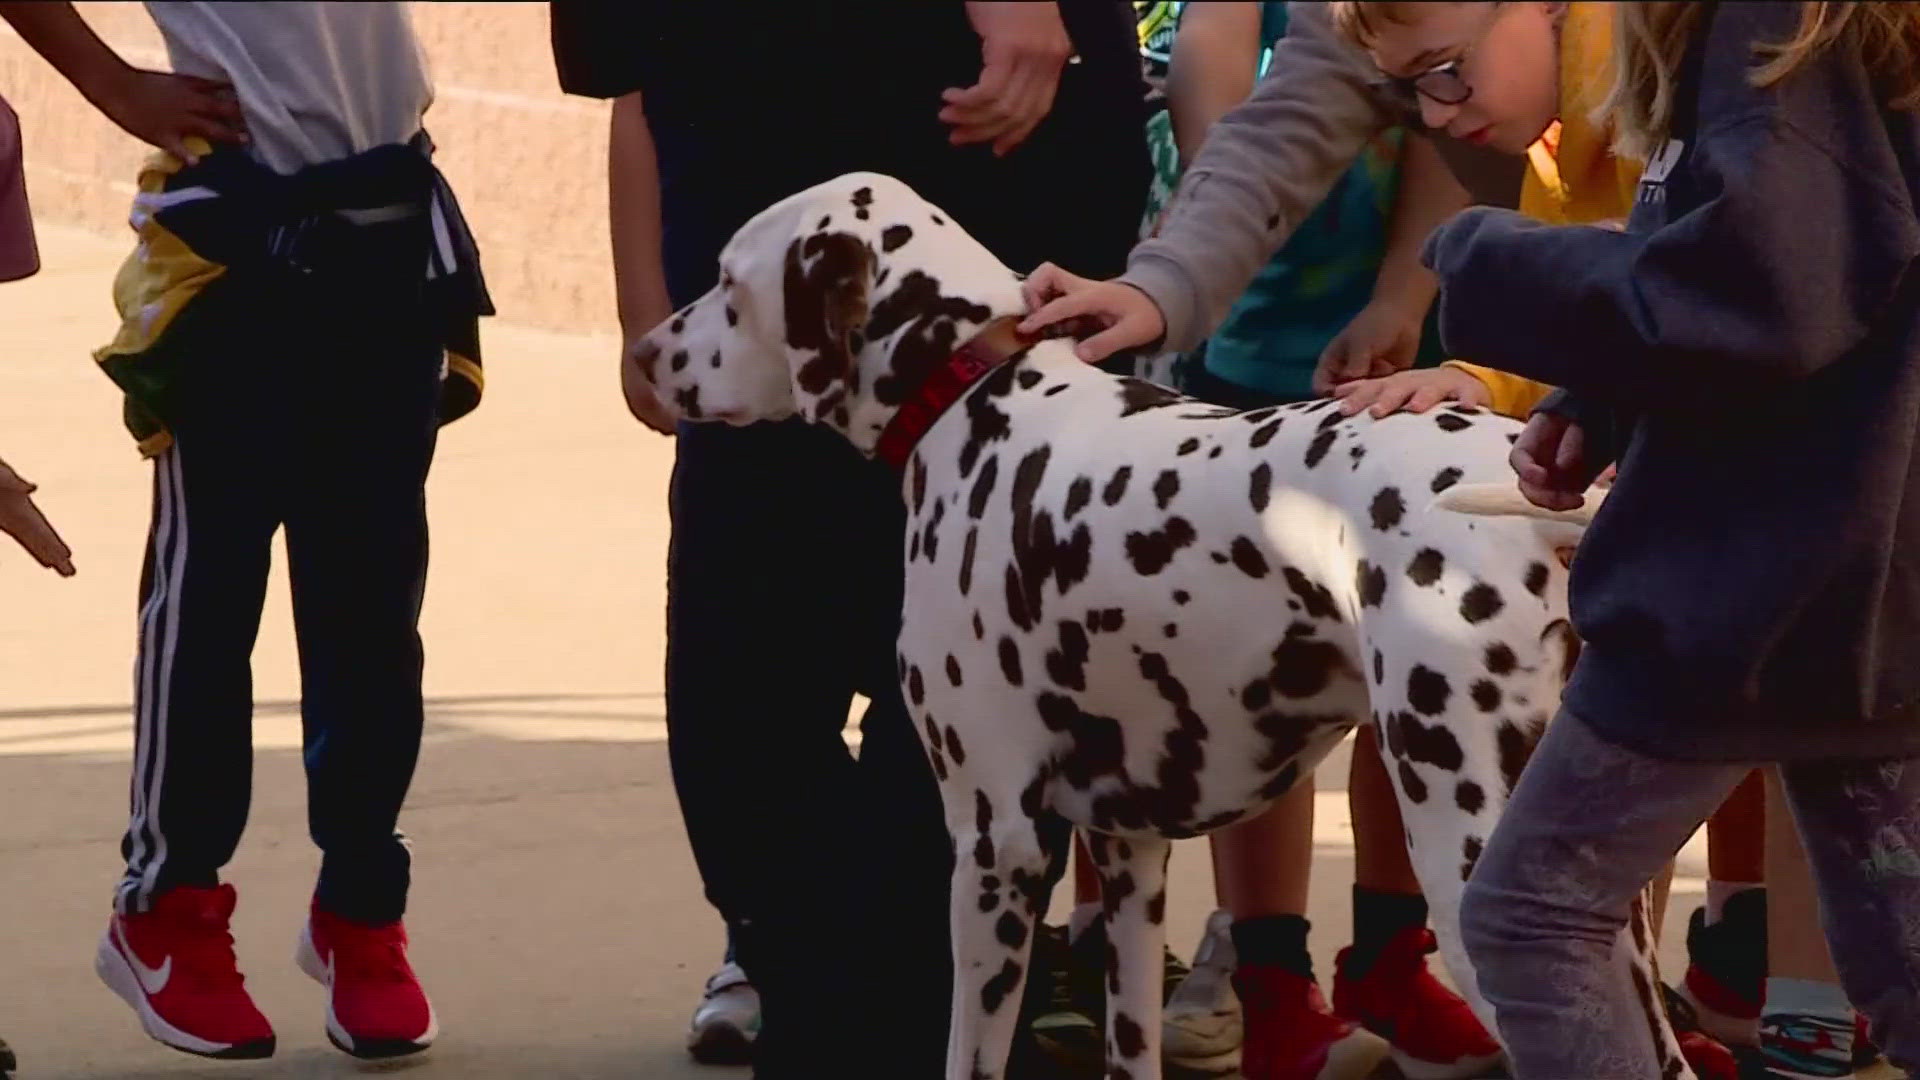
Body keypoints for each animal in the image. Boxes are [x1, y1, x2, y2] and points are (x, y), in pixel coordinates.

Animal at [633, 171, 1681, 1068]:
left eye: (730, 281)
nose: (643, 355)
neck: (978, 396)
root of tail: (1553, 506)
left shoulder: (994, 848)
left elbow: (968, 1053)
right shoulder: (1128, 855)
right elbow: (1128, 1046)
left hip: (1469, 866)